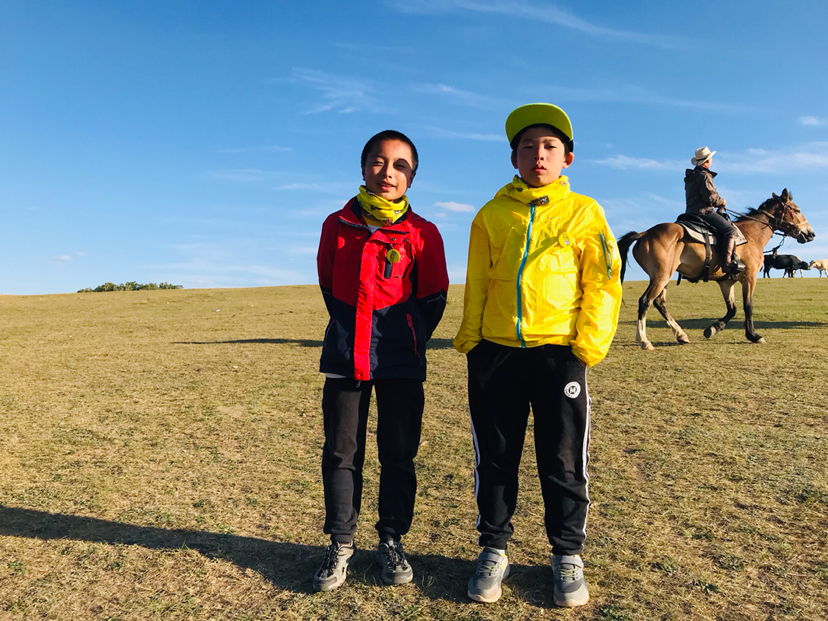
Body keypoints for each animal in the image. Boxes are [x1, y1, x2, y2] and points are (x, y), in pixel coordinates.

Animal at [618, 189, 815, 350]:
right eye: (797, 210)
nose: (811, 233)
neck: (751, 235)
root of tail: (644, 234)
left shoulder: (726, 282)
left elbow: (732, 309)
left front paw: (713, 329)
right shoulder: (749, 277)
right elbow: (748, 306)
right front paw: (753, 335)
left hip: (662, 278)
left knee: (659, 302)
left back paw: (680, 335)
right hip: (661, 276)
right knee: (645, 301)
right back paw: (644, 340)